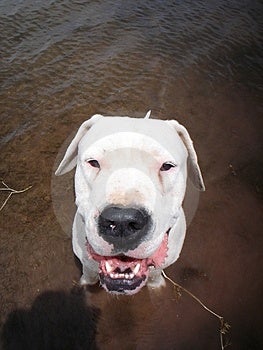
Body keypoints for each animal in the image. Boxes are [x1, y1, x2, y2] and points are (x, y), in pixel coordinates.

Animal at [54, 113, 205, 296]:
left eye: (167, 166)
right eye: (93, 162)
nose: (122, 222)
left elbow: (155, 276)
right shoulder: (87, 264)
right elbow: (88, 276)